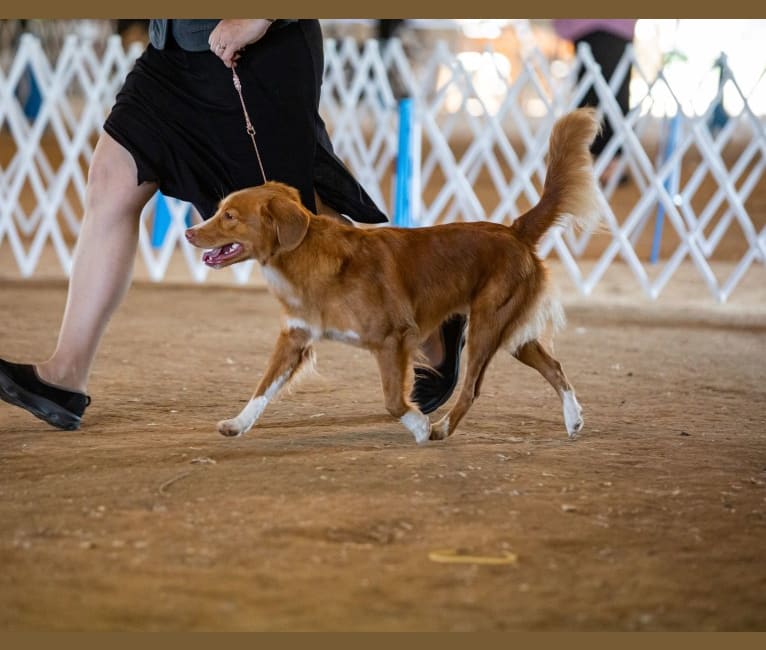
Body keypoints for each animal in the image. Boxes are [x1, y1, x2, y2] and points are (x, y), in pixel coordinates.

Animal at [188, 109, 608, 442]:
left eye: (230, 216)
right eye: (219, 210)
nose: (189, 233)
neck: (305, 259)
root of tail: (514, 230)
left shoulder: (392, 338)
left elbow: (392, 400)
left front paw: (419, 426)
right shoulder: (295, 338)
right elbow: (262, 388)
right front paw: (237, 424)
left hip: (489, 325)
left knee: (472, 389)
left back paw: (440, 428)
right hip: (511, 332)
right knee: (554, 367)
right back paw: (573, 420)